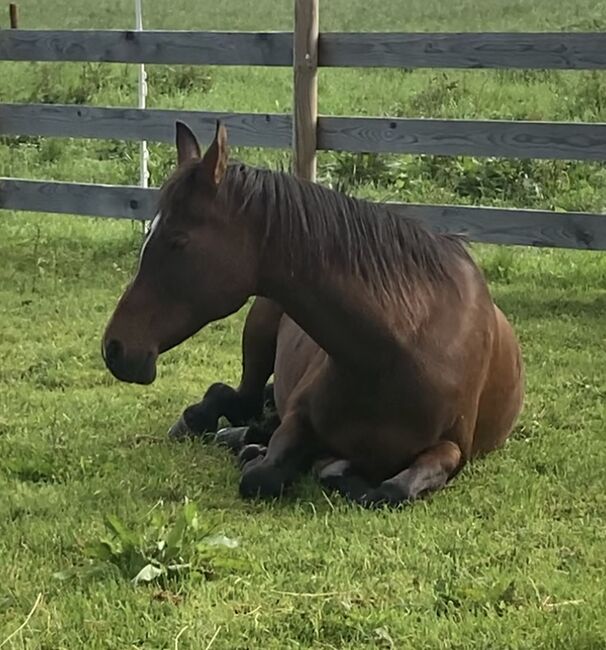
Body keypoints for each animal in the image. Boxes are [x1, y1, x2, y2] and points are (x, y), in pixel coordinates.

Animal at [102, 120, 524, 506]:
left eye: (178, 241)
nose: (114, 348)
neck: (398, 350)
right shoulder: (299, 418)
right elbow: (264, 475)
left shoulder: (452, 448)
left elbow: (392, 489)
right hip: (258, 336)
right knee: (237, 398)